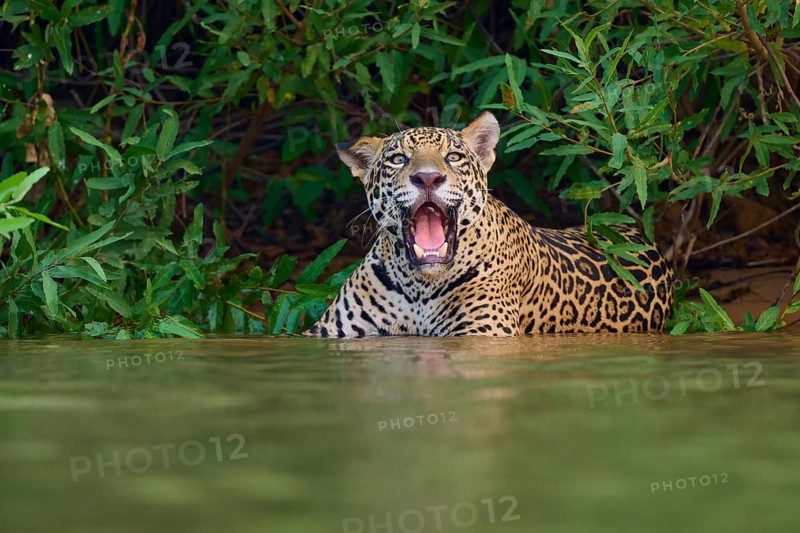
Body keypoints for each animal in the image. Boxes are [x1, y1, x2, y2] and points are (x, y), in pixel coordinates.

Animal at [304, 112, 673, 338]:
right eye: (398, 159)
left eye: (453, 157)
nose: (428, 178)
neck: (418, 287)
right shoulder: (327, 333)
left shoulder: (483, 333)